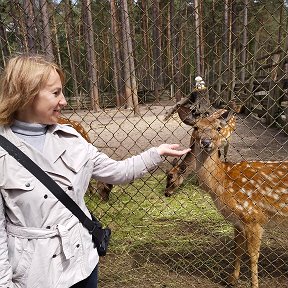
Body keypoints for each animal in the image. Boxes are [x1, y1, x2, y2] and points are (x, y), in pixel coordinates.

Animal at [189, 109, 288, 288]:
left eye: (218, 128)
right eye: (196, 127)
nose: (205, 142)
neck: (222, 181)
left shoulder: (253, 216)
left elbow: (253, 255)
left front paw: (254, 285)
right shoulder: (237, 221)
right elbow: (237, 249)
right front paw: (232, 279)